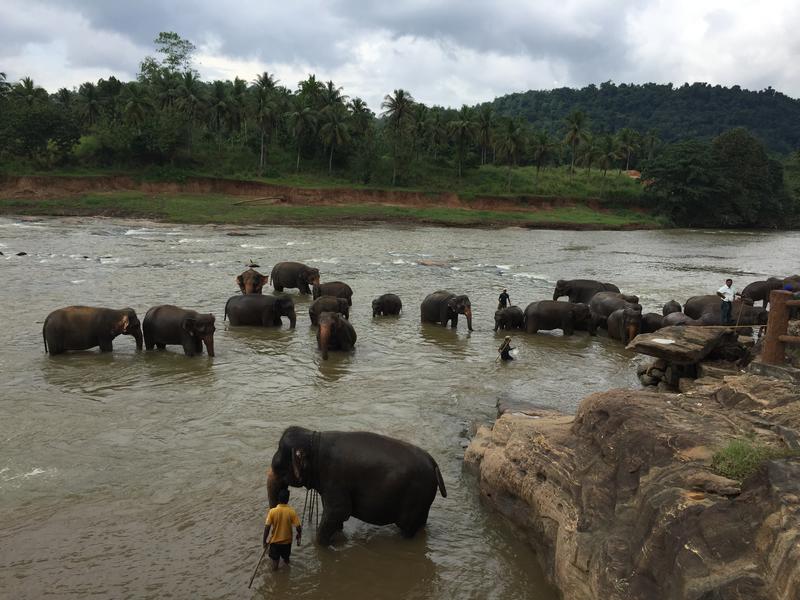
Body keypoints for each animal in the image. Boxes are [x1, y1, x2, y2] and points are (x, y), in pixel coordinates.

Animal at [268, 426, 446, 544]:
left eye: (278, 468)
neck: (314, 439)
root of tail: (434, 463)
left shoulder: (334, 478)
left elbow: (339, 511)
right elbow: (334, 514)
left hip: (415, 497)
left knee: (407, 527)